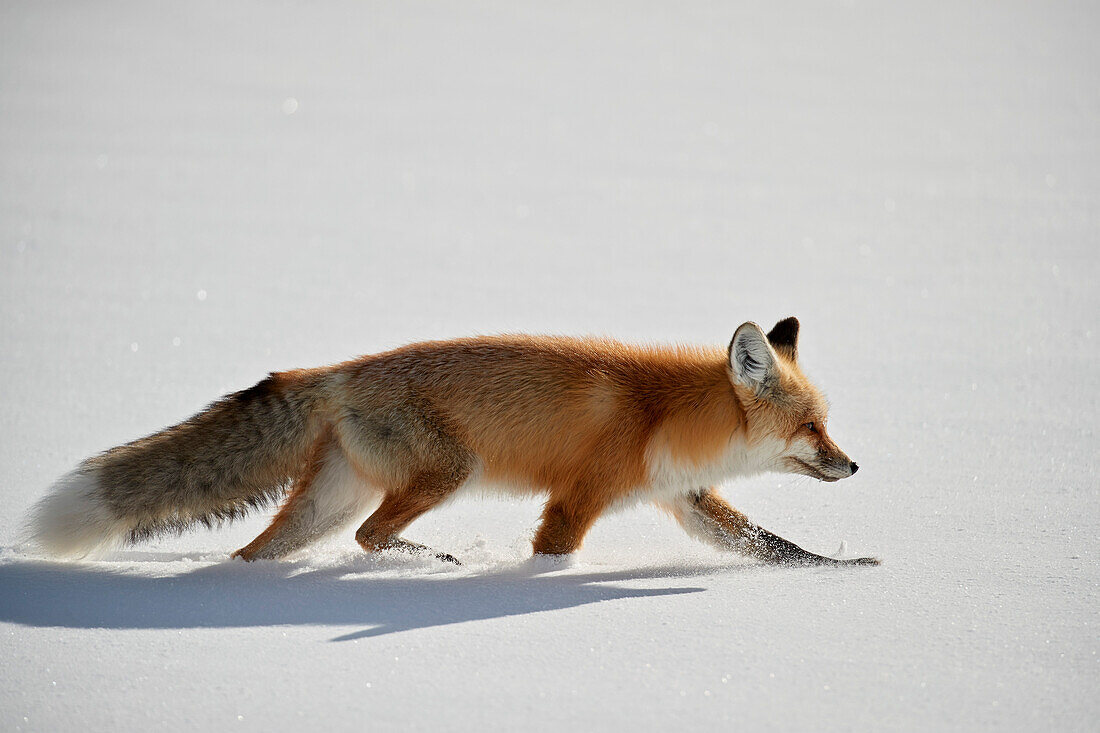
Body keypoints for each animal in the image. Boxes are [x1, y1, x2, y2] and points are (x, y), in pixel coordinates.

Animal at [25, 314, 880, 563]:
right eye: (812, 425)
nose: (853, 464)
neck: (662, 417)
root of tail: (334, 371)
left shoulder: (687, 497)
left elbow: (776, 547)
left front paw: (847, 571)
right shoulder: (578, 498)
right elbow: (553, 555)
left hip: (330, 503)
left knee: (259, 551)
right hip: (445, 472)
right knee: (371, 536)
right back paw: (432, 562)